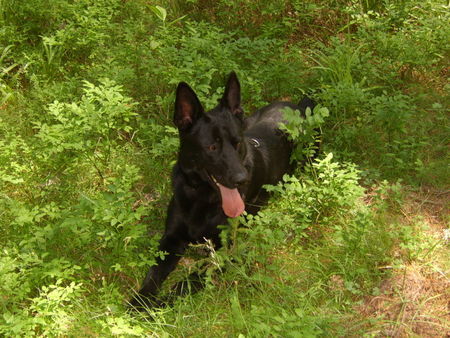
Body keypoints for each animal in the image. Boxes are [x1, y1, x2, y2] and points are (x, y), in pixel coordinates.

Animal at [128, 72, 314, 308]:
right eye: (212, 147)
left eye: (237, 143)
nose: (242, 179)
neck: (201, 197)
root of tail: (297, 106)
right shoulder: (171, 238)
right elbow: (153, 273)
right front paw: (138, 303)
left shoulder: (227, 250)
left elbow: (188, 281)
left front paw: (160, 305)